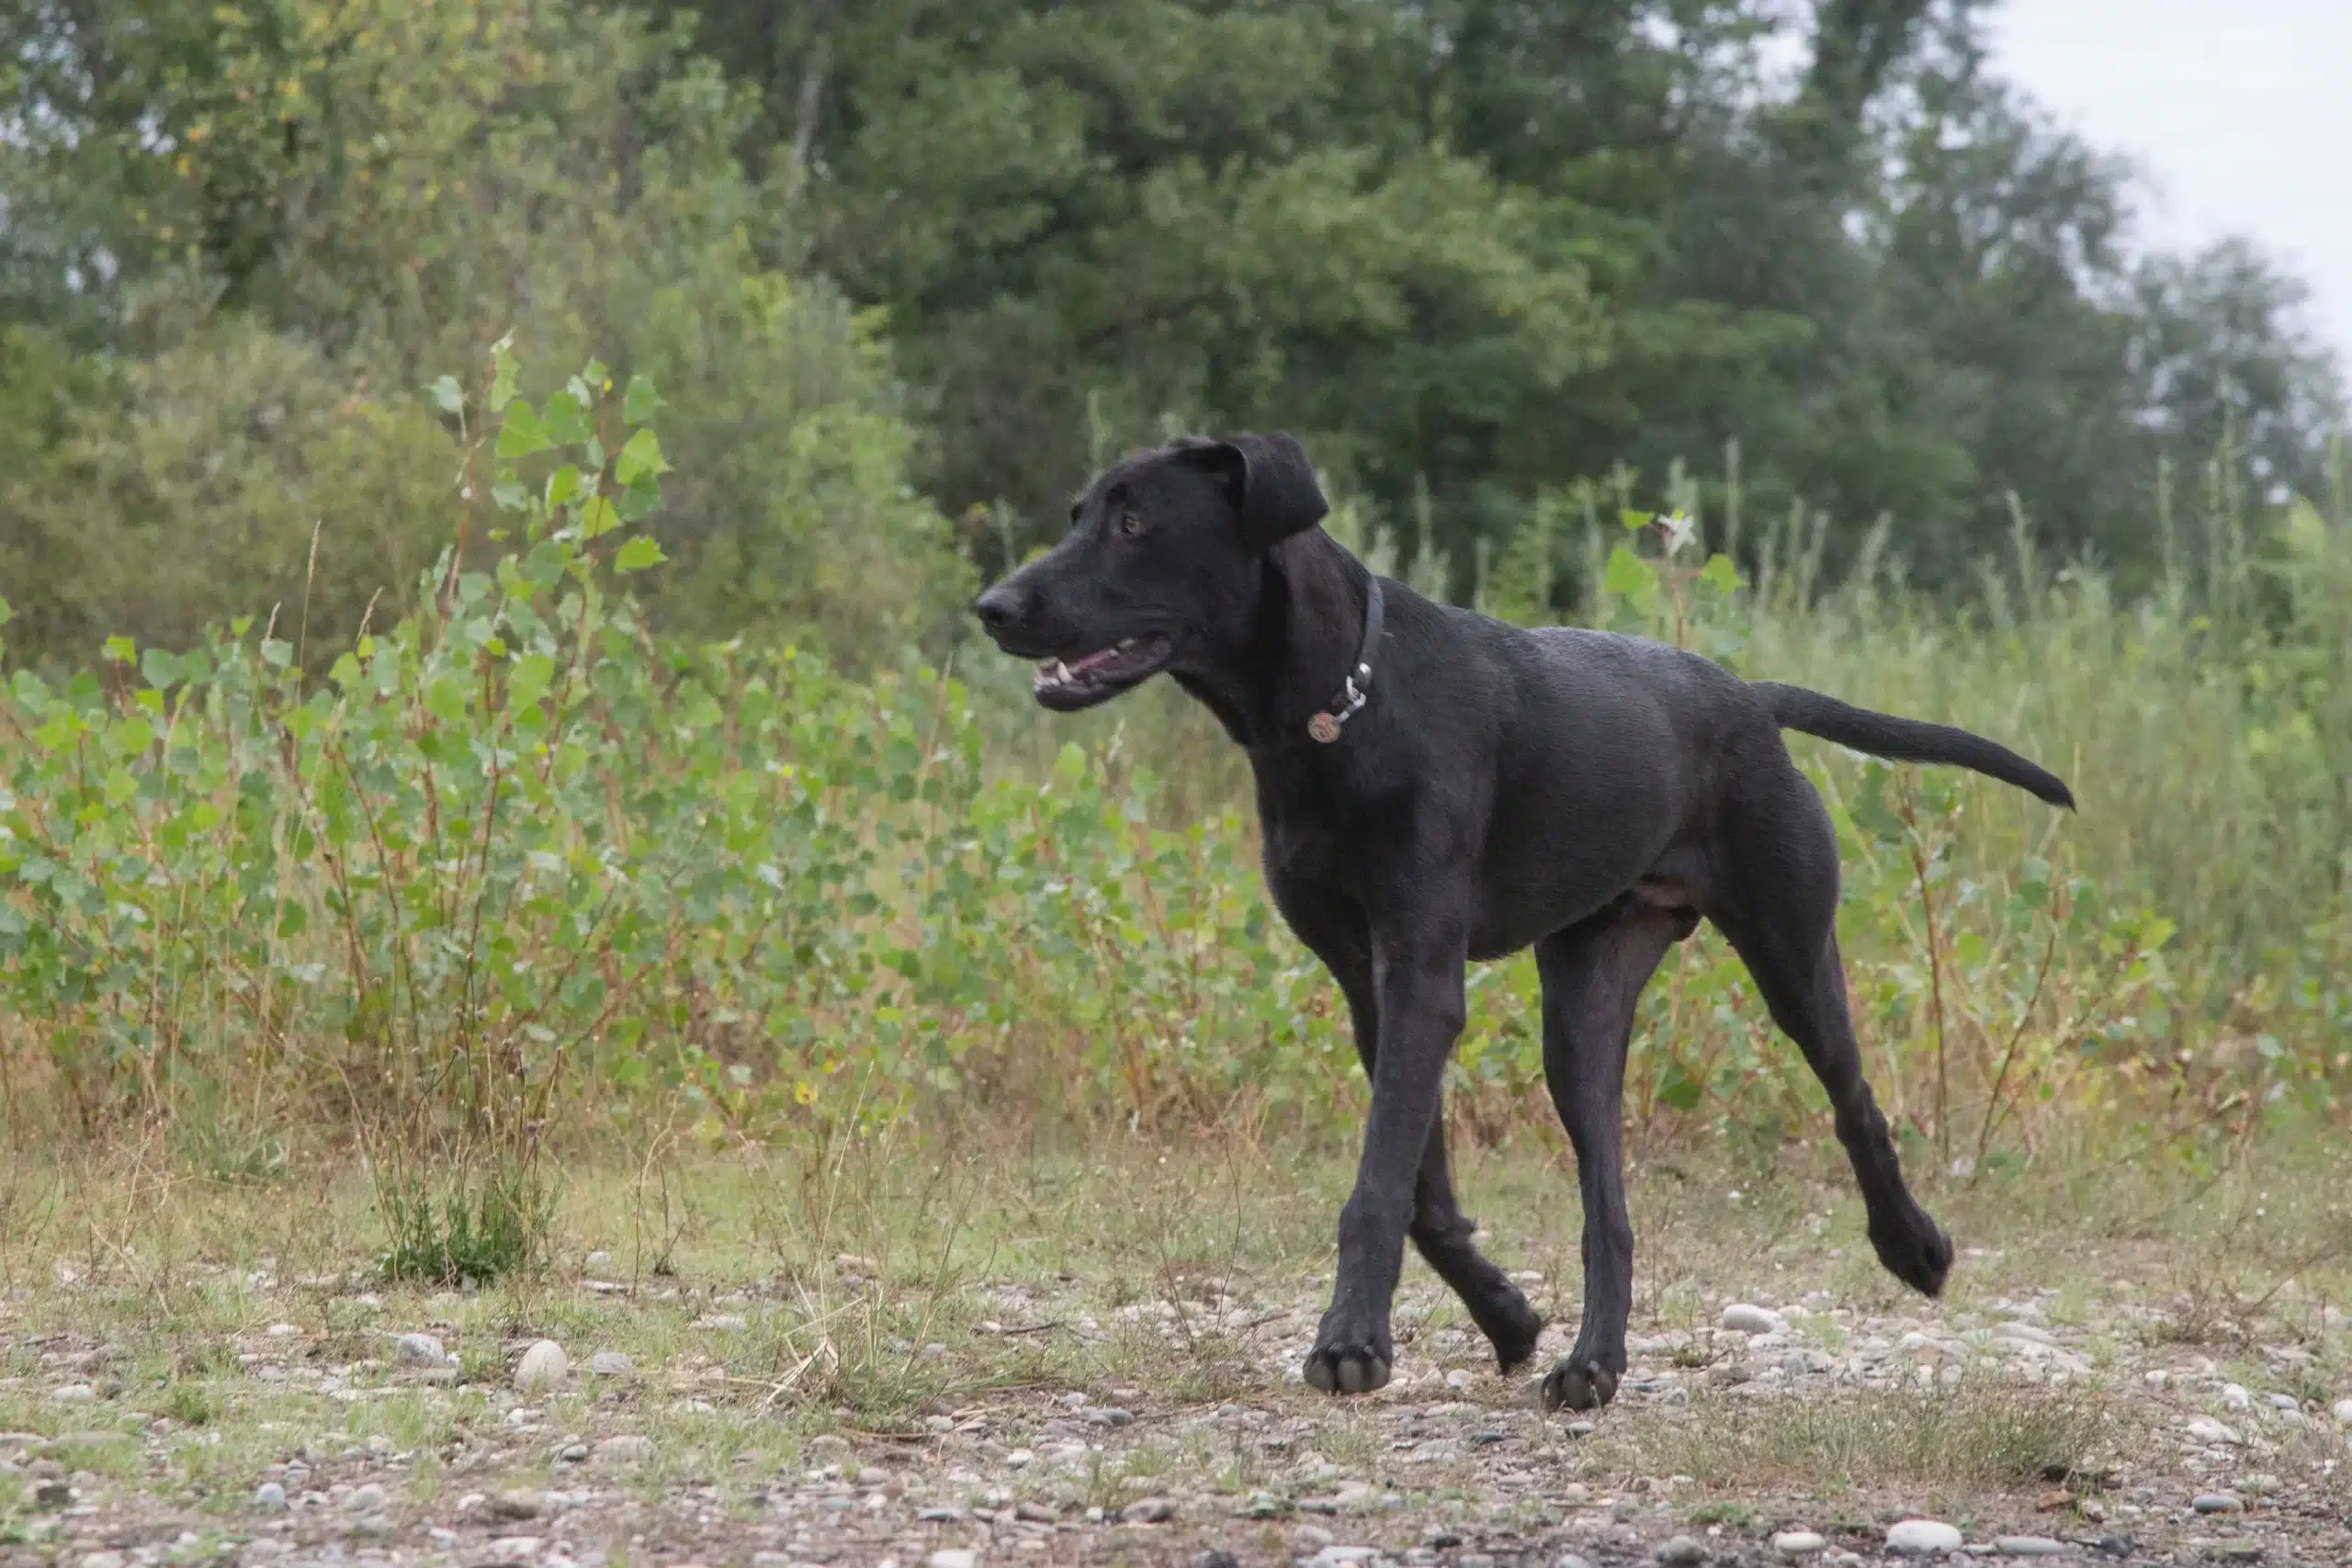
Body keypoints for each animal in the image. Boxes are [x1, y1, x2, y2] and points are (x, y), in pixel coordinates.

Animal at [964, 432, 2069, 1410]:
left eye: (1134, 522)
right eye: (1078, 515)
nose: (993, 607)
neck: (1339, 706)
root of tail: (1747, 699)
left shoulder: (1421, 975)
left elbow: (1377, 1185)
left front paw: (1350, 1341)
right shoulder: (1369, 983)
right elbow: (1421, 1190)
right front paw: (1503, 1315)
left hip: (1790, 943)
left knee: (1855, 1100)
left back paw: (1912, 1245)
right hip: (1581, 1008)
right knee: (1608, 1208)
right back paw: (1593, 1365)